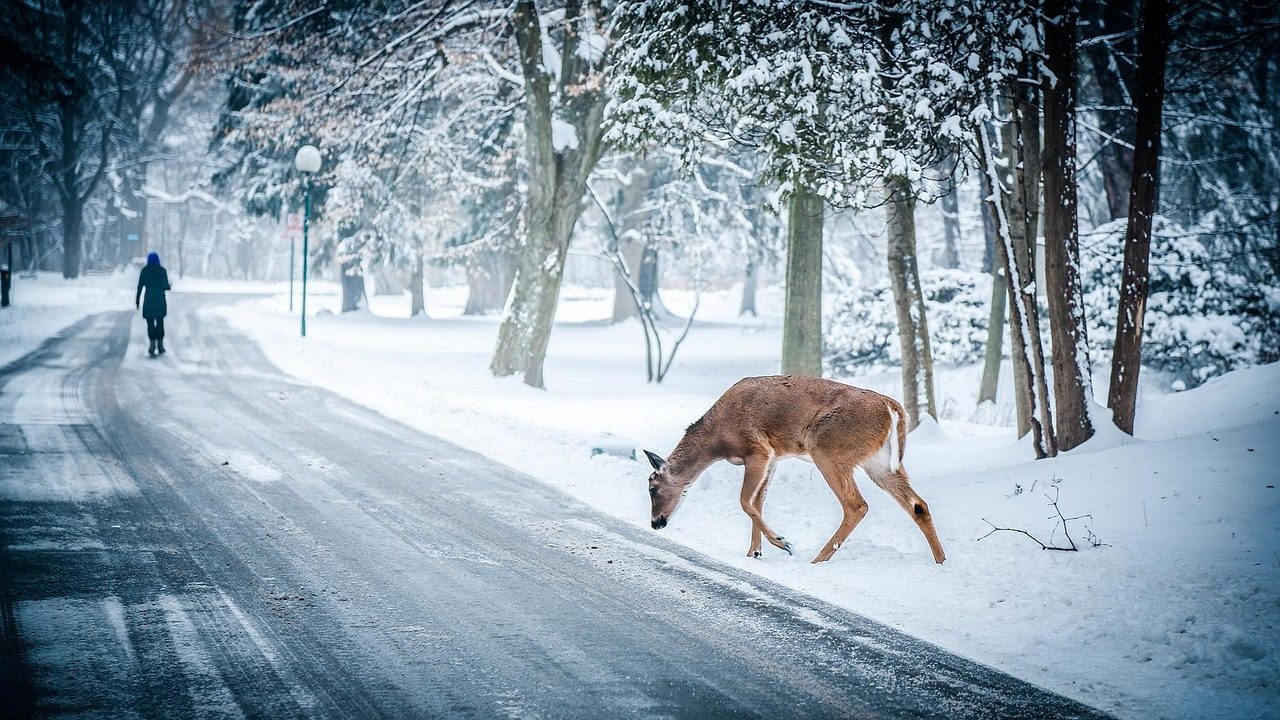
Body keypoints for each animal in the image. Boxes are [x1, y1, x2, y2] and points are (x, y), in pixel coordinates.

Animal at [643, 375, 946, 564]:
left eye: (652, 488)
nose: (656, 523)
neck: (717, 439)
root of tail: (892, 408)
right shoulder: (774, 457)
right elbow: (758, 502)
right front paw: (754, 552)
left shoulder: (758, 449)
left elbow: (745, 501)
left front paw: (782, 542)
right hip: (879, 462)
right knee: (918, 505)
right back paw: (941, 561)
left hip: (827, 448)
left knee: (856, 505)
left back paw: (818, 559)